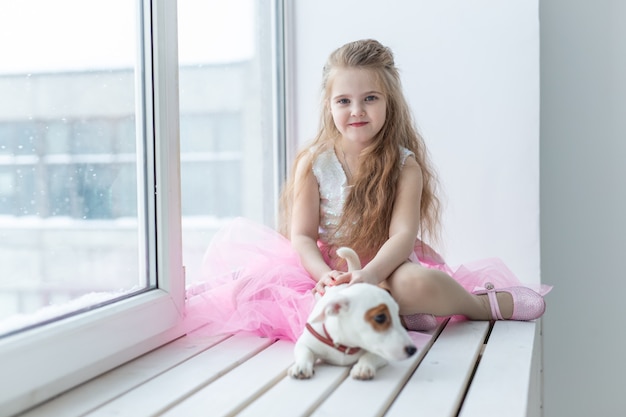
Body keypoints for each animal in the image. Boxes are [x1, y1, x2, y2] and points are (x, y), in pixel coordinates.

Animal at [286, 247, 414, 380]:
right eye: (380, 318)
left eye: (396, 316)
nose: (412, 350)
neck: (345, 344)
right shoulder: (305, 343)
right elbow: (305, 353)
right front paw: (301, 366)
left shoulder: (381, 353)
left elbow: (369, 356)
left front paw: (363, 367)